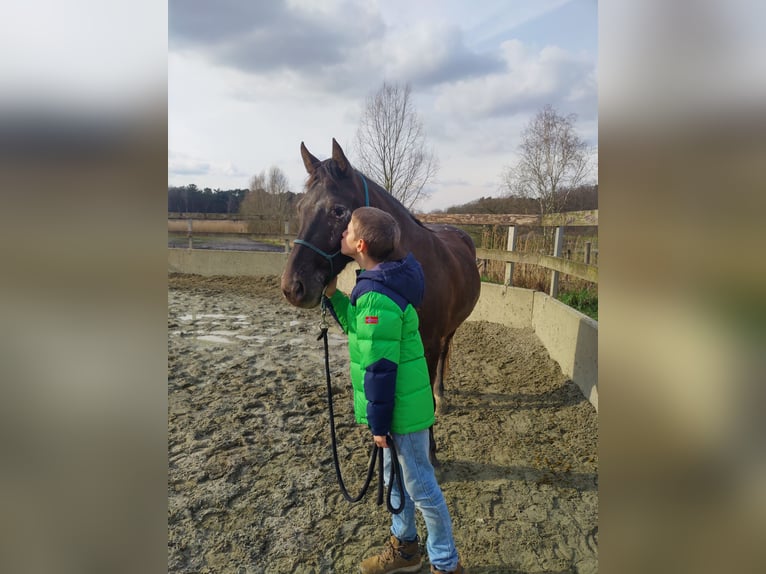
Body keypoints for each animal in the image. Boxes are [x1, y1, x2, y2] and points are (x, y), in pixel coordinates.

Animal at [284, 140, 480, 468]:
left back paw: (441, 396)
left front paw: (430, 451)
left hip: (450, 330)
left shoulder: (427, 347)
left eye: (338, 210)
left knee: (444, 357)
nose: (292, 287)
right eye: (299, 209)